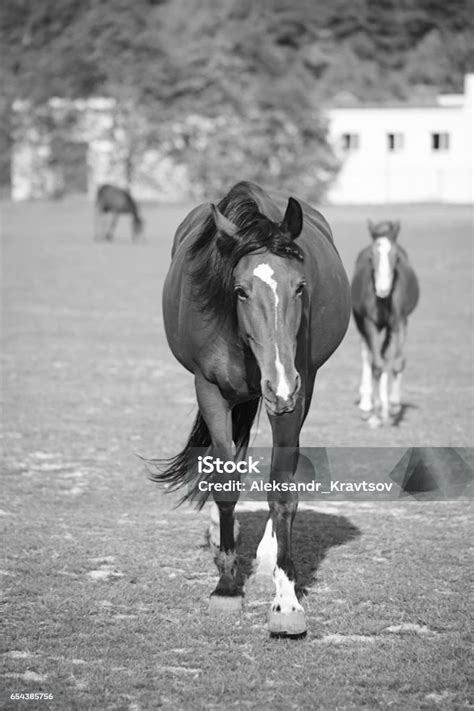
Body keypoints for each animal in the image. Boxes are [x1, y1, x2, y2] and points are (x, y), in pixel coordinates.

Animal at [149, 181, 352, 636]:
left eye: (300, 287)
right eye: (240, 290)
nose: (279, 384)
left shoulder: (296, 391)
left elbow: (282, 491)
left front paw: (286, 599)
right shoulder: (209, 389)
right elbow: (225, 481)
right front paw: (225, 587)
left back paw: (265, 561)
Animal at [352, 220, 418, 426]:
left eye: (395, 256)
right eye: (371, 256)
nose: (382, 289)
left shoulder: (400, 322)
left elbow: (396, 362)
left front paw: (394, 406)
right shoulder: (369, 323)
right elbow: (376, 364)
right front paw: (371, 414)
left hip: (389, 328)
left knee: (383, 353)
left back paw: (385, 407)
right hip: (361, 322)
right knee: (368, 355)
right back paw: (367, 403)